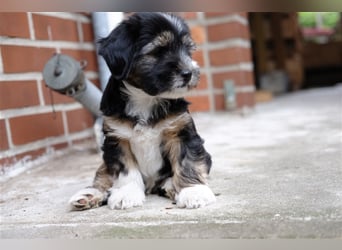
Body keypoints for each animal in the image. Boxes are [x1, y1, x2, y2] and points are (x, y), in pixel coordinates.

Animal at [68, 12, 215, 210]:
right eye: (158, 51)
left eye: (188, 51)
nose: (188, 73)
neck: (145, 98)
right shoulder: (117, 138)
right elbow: (125, 170)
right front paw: (126, 194)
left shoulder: (181, 132)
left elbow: (188, 161)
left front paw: (194, 192)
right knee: (102, 175)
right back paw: (88, 195)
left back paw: (171, 185)